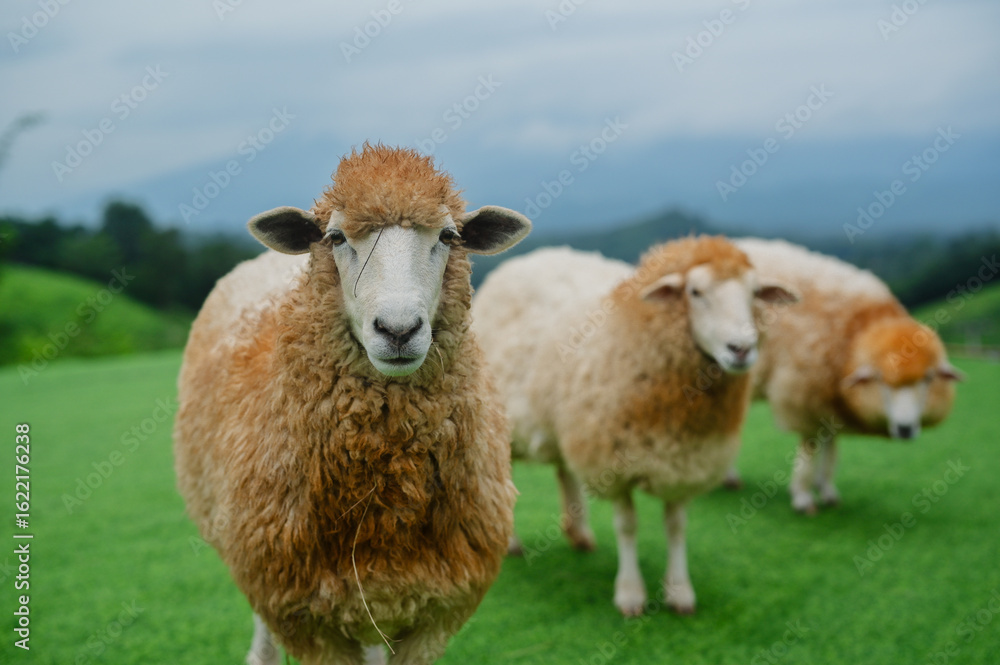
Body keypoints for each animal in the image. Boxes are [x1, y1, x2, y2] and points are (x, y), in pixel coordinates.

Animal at [173, 144, 531, 665]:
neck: (384, 500)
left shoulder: (436, 612)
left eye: (448, 236)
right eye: (336, 237)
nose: (398, 330)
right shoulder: (304, 616)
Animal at [471, 237, 797, 615]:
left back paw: (579, 534)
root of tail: (530, 258)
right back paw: (512, 544)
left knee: (564, 472)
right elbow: (627, 526)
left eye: (755, 292)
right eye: (695, 291)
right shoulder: (614, 463)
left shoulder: (685, 461)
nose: (742, 349)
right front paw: (630, 594)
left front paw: (679, 591)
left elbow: (676, 526)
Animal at [723, 238, 963, 514]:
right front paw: (803, 496)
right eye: (880, 379)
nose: (905, 429)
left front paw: (826, 490)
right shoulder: (803, 393)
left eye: (928, 378)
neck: (851, 338)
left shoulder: (829, 401)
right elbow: (810, 448)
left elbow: (831, 449)